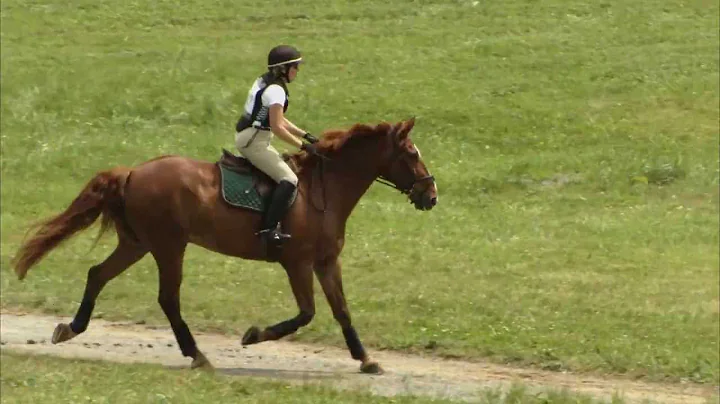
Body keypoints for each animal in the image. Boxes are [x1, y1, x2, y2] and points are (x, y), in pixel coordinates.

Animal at [11, 117, 436, 376]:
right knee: (167, 298)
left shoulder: (326, 262)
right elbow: (306, 314)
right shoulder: (297, 263)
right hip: (168, 246)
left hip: (138, 243)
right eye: (411, 154)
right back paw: (197, 355)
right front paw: (253, 336)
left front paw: (366, 360)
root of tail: (132, 172)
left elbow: (342, 311)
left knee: (97, 274)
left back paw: (70, 328)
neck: (324, 190)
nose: (431, 196)